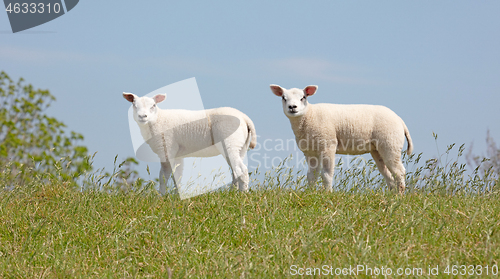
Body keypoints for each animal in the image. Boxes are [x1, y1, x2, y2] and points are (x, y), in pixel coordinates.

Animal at [120, 93, 254, 196]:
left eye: (153, 105)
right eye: (134, 105)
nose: (142, 116)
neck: (158, 120)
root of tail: (245, 118)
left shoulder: (167, 148)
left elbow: (164, 175)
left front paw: (161, 196)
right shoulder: (177, 154)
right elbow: (177, 176)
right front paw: (177, 195)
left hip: (230, 142)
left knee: (242, 169)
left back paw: (243, 195)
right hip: (240, 147)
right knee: (236, 170)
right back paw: (233, 193)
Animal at [272, 85, 412, 195]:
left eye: (303, 97)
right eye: (283, 98)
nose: (292, 107)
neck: (309, 115)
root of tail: (400, 120)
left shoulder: (328, 145)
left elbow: (326, 174)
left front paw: (327, 193)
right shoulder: (311, 151)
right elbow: (311, 175)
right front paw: (310, 192)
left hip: (390, 143)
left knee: (399, 171)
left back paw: (400, 195)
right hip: (377, 149)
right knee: (388, 174)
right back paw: (392, 195)